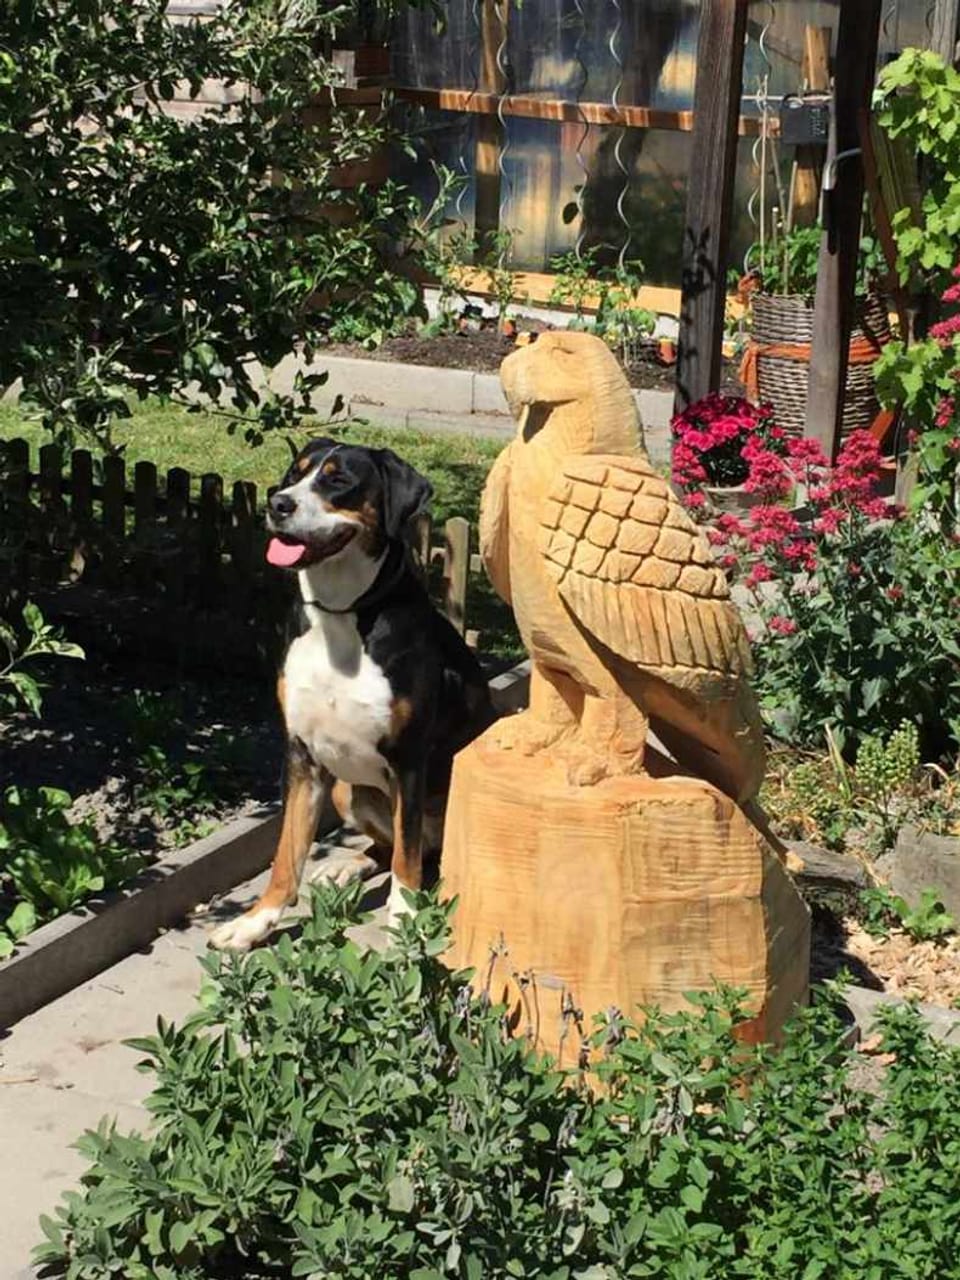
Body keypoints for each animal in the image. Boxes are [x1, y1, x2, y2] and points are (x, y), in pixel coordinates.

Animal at [209, 440, 496, 952]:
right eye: (295, 473)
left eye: (339, 480)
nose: (278, 503)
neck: (340, 613)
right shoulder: (302, 758)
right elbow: (286, 855)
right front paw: (255, 922)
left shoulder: (409, 761)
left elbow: (407, 859)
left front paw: (404, 917)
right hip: (346, 789)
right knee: (386, 847)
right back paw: (346, 867)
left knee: (419, 852)